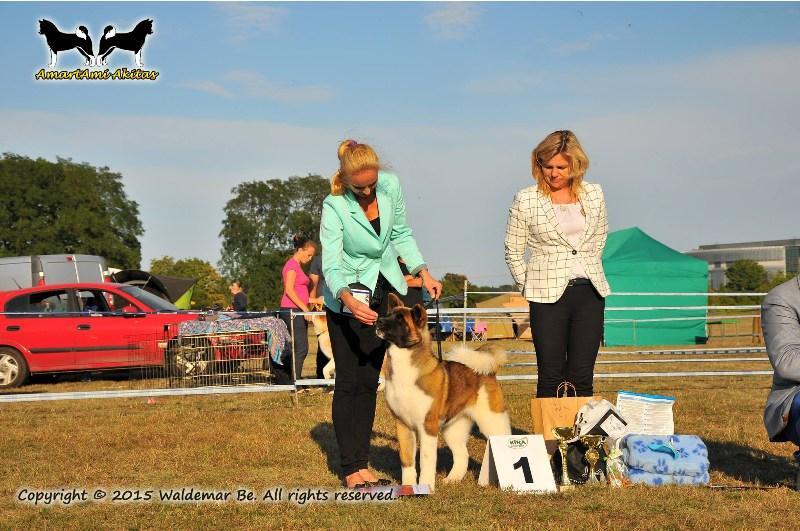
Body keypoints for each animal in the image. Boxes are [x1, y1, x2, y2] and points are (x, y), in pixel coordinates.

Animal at [376, 294, 512, 492]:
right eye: (389, 314)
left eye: (400, 320)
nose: (378, 320)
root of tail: (488, 372)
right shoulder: (403, 425)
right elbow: (407, 461)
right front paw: (408, 488)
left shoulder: (428, 426)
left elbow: (426, 460)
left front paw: (425, 488)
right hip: (453, 428)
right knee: (462, 455)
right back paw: (452, 480)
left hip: (492, 421)